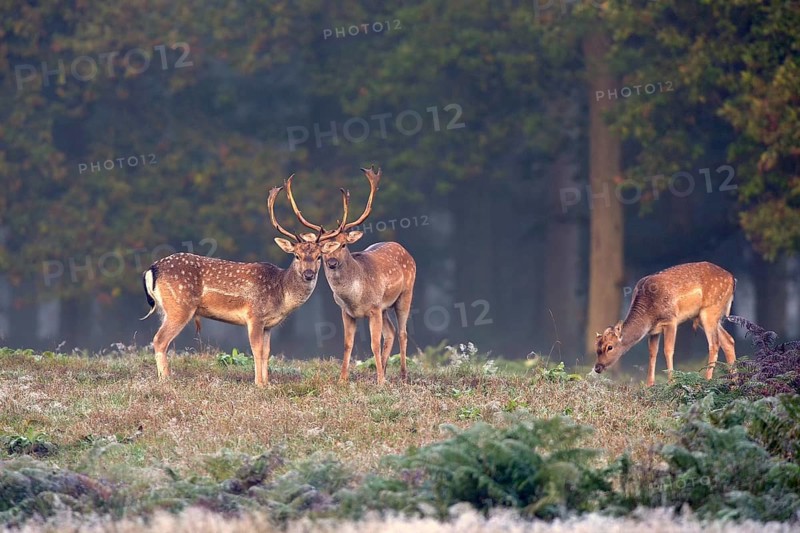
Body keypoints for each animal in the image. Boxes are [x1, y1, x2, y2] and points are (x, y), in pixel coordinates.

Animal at [139, 184, 327, 386]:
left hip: (164, 309)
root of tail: (152, 269)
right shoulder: (254, 316)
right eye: (296, 256)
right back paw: (166, 380)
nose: (309, 274)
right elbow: (256, 350)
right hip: (179, 306)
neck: (281, 294)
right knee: (159, 340)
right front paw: (259, 384)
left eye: (319, 257)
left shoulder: (268, 325)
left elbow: (267, 352)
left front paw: (266, 382)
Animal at [283, 166, 416, 385]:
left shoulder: (374, 308)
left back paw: (403, 376)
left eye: (343, 244)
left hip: (406, 294)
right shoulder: (346, 312)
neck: (355, 298)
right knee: (391, 332)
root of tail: (404, 249)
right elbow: (347, 344)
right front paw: (343, 379)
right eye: (321, 249)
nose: (331, 263)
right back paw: (384, 369)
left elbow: (373, 344)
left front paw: (380, 382)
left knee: (403, 332)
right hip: (385, 307)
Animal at [594, 261, 737, 386]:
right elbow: (652, 353)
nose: (597, 367)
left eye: (610, 347)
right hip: (702, 316)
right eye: (597, 347)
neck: (649, 315)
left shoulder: (671, 320)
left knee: (715, 344)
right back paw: (734, 382)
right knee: (728, 340)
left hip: (710, 309)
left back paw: (707, 380)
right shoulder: (653, 331)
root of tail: (732, 278)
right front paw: (649, 385)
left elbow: (668, 350)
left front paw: (671, 382)